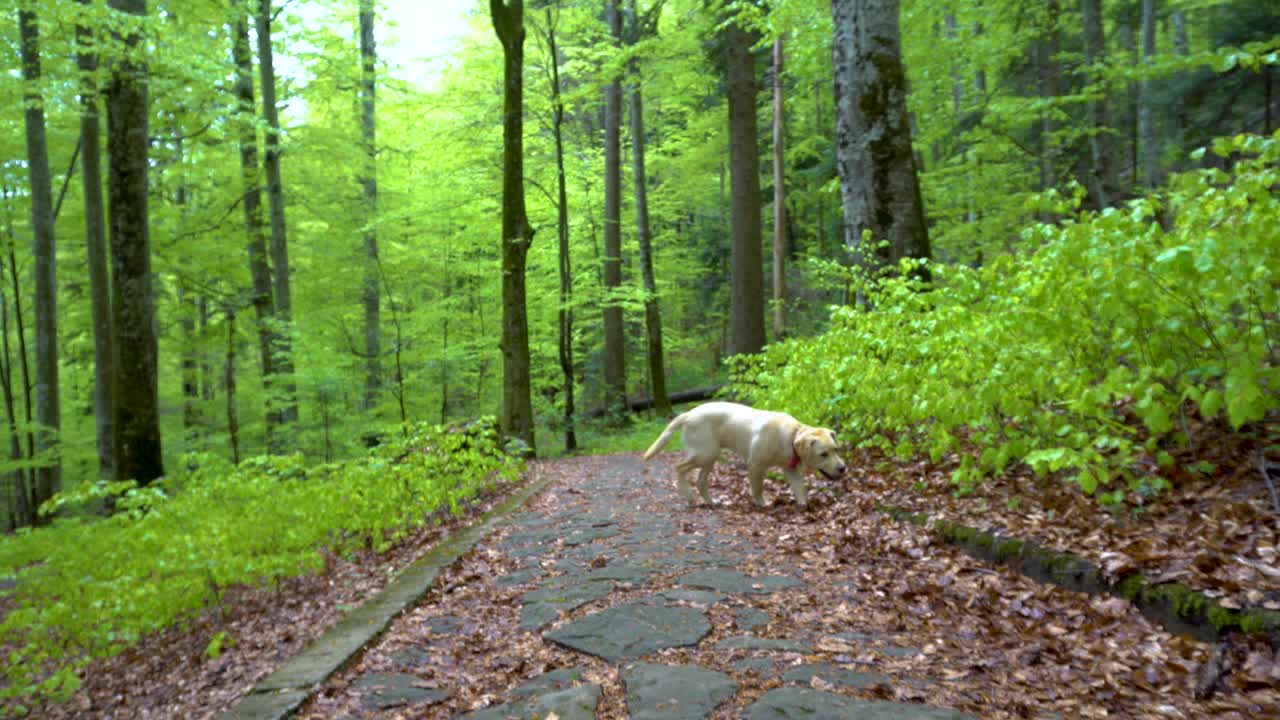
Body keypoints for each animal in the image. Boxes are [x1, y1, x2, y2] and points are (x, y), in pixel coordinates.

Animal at [645, 397, 844, 504]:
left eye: (836, 449)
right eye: (823, 454)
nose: (843, 468)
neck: (791, 437)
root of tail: (688, 414)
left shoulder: (790, 469)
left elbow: (800, 490)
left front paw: (803, 506)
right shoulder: (755, 465)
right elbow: (758, 489)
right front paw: (763, 504)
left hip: (711, 456)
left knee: (701, 482)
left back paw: (711, 502)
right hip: (705, 454)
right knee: (679, 468)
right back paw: (687, 494)